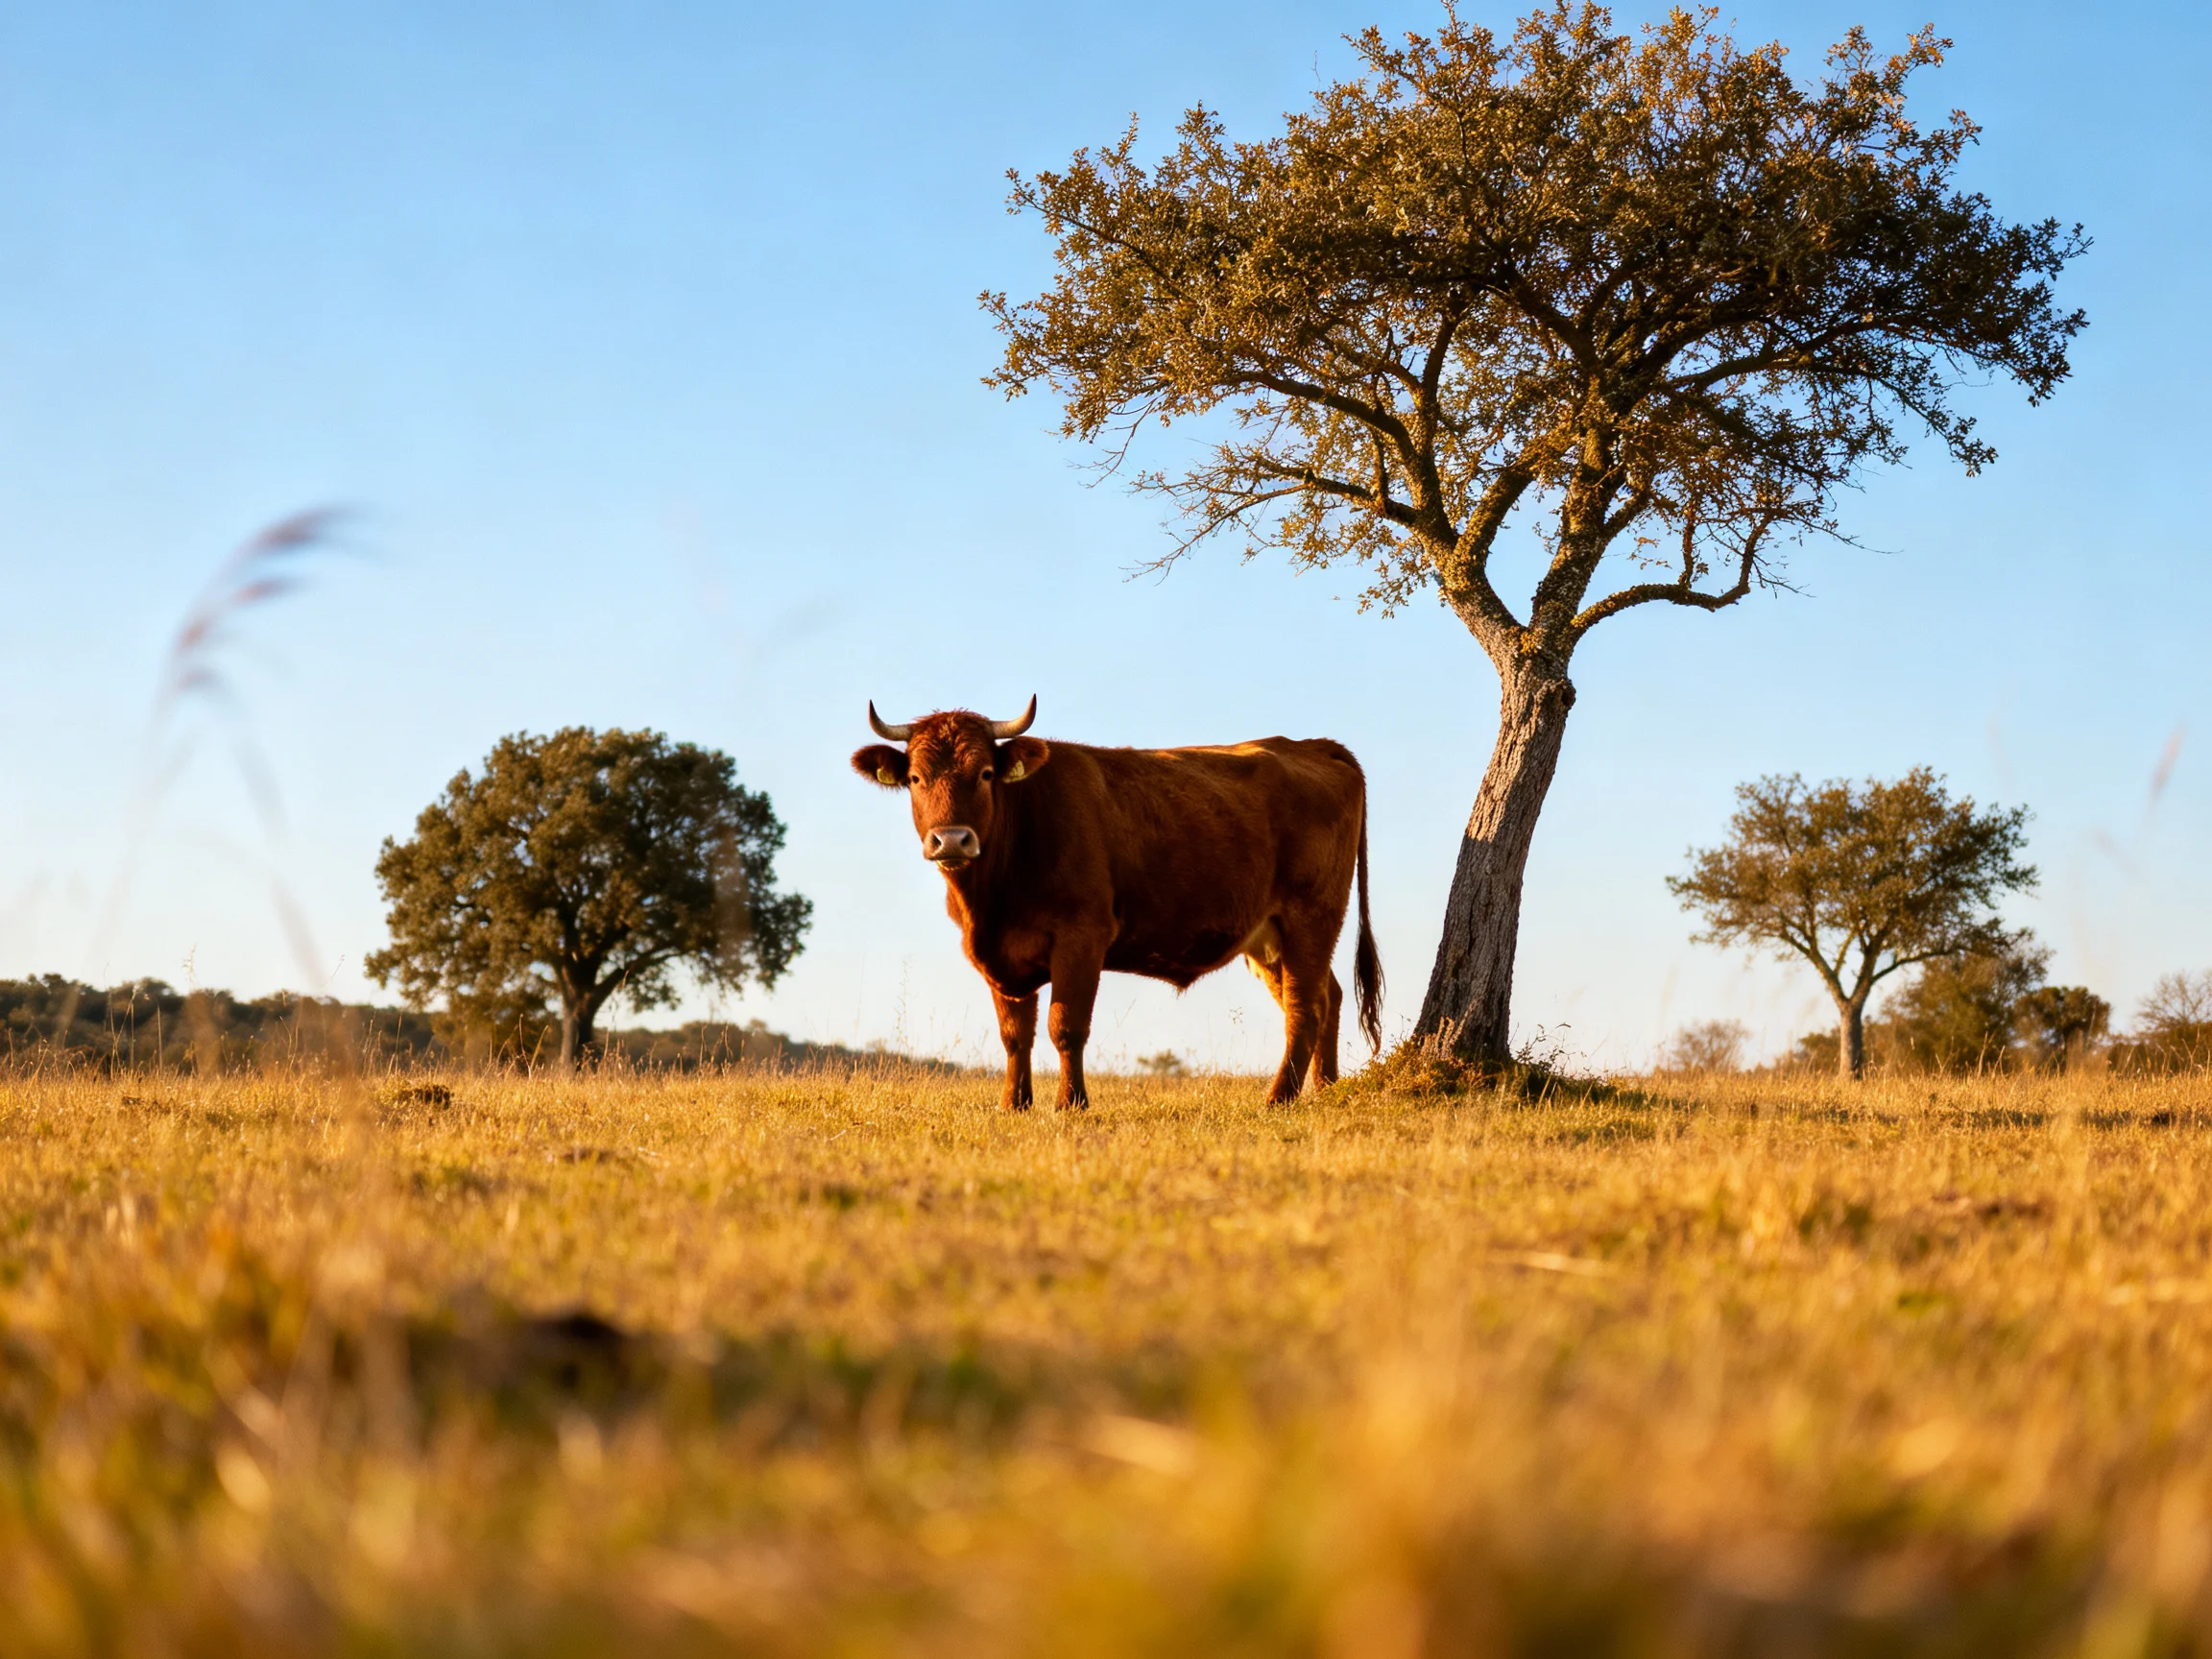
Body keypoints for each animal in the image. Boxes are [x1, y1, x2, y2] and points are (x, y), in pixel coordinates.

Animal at [852, 697, 1381, 1110]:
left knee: (1305, 1006)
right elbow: (1014, 1033)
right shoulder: (1000, 956)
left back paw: (1278, 1099)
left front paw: (1071, 1103)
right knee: (1327, 997)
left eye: (984, 774)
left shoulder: (1081, 937)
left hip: (1311, 916)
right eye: (915, 778)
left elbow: (1065, 1025)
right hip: (1268, 935)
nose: (952, 840)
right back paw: (1326, 1091)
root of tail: (1311, 744)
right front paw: (1014, 1104)